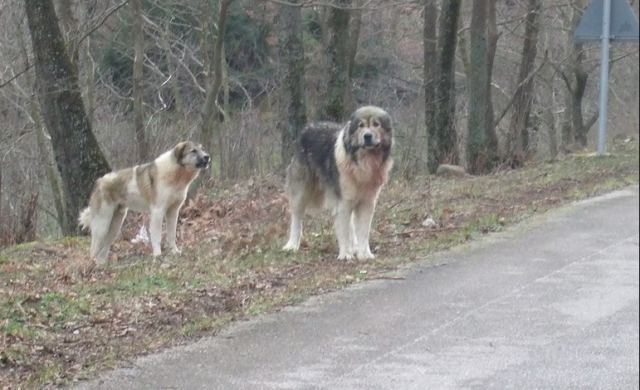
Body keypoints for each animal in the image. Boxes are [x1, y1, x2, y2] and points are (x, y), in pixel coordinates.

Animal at [79, 140, 210, 262]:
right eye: (193, 151)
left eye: (202, 149)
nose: (207, 157)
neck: (177, 174)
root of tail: (99, 182)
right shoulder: (158, 212)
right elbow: (156, 237)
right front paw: (158, 255)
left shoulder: (173, 212)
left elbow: (171, 235)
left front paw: (174, 251)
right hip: (102, 225)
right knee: (93, 249)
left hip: (115, 226)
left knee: (103, 248)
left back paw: (101, 265)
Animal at [282, 105, 392, 260]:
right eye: (361, 126)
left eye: (376, 124)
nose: (367, 136)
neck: (363, 162)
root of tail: (307, 128)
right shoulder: (343, 202)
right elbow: (344, 230)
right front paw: (345, 255)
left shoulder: (367, 203)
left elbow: (363, 231)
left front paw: (364, 254)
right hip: (301, 192)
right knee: (297, 218)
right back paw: (292, 245)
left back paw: (355, 247)